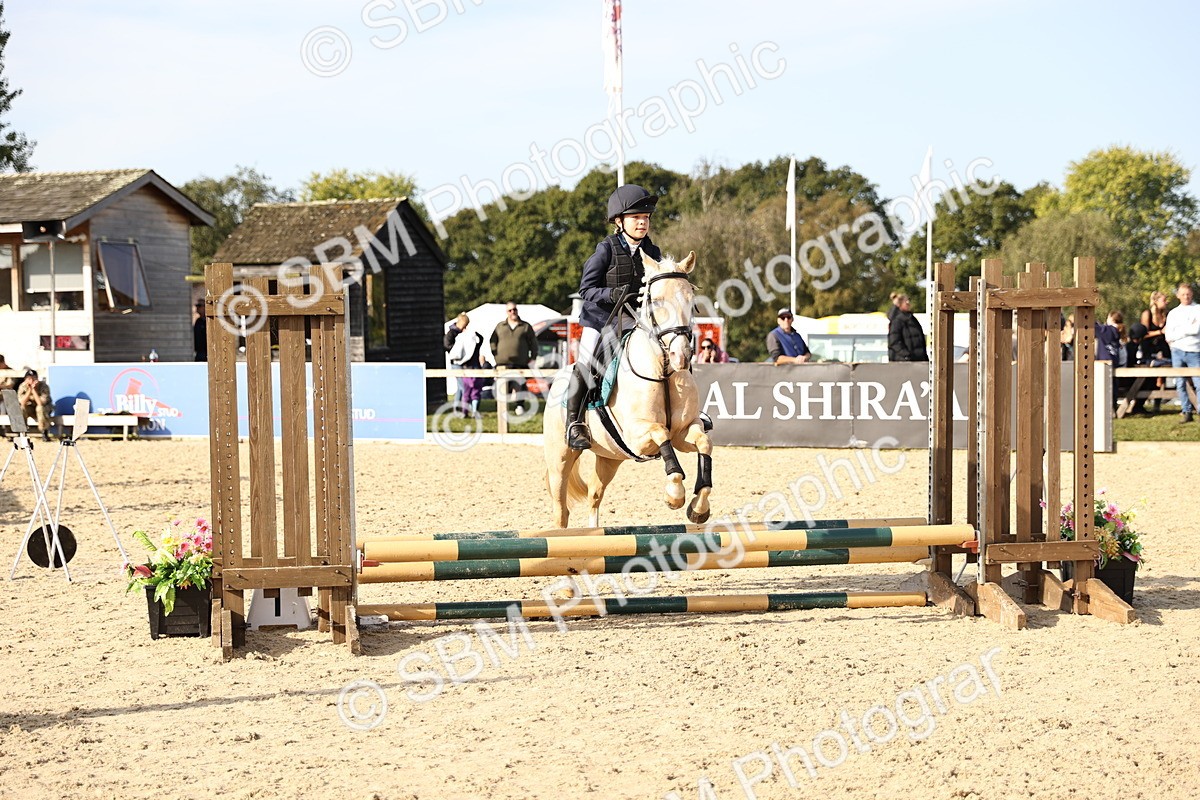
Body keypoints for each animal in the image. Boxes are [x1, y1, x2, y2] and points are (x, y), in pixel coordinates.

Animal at [543, 251, 713, 529]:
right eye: (656, 301)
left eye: (691, 301)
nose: (681, 356)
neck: (663, 371)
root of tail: (557, 378)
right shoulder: (637, 435)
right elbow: (661, 433)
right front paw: (674, 496)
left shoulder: (683, 431)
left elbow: (703, 442)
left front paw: (699, 508)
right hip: (560, 456)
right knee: (561, 510)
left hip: (610, 456)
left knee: (594, 494)